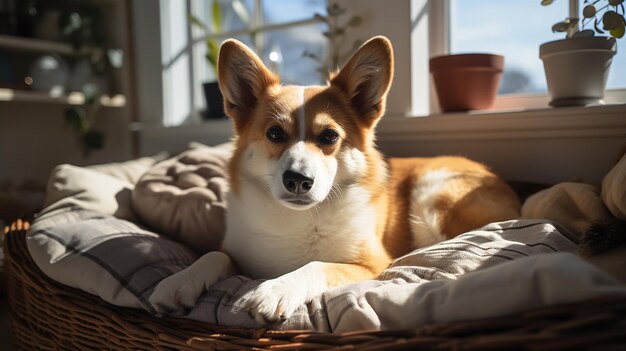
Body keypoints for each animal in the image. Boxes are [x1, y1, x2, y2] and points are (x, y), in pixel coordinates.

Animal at [149, 35, 520, 324]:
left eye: (329, 137)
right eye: (274, 133)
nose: (298, 180)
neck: (298, 221)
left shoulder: (371, 264)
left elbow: (317, 265)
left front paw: (276, 288)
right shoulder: (235, 252)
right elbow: (214, 255)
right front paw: (179, 280)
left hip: (433, 197)